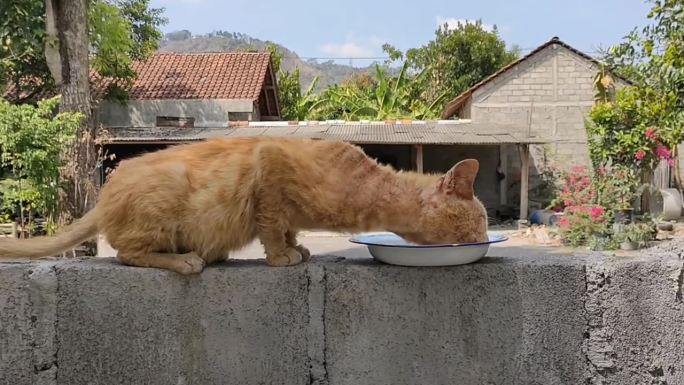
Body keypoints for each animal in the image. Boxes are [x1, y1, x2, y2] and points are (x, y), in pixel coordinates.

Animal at [0, 138, 488, 272]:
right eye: (482, 219)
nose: (487, 236)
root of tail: (104, 196)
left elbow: (289, 226)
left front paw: (299, 247)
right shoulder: (268, 165)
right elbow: (272, 224)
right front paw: (282, 256)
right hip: (166, 189)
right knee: (127, 253)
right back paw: (185, 260)